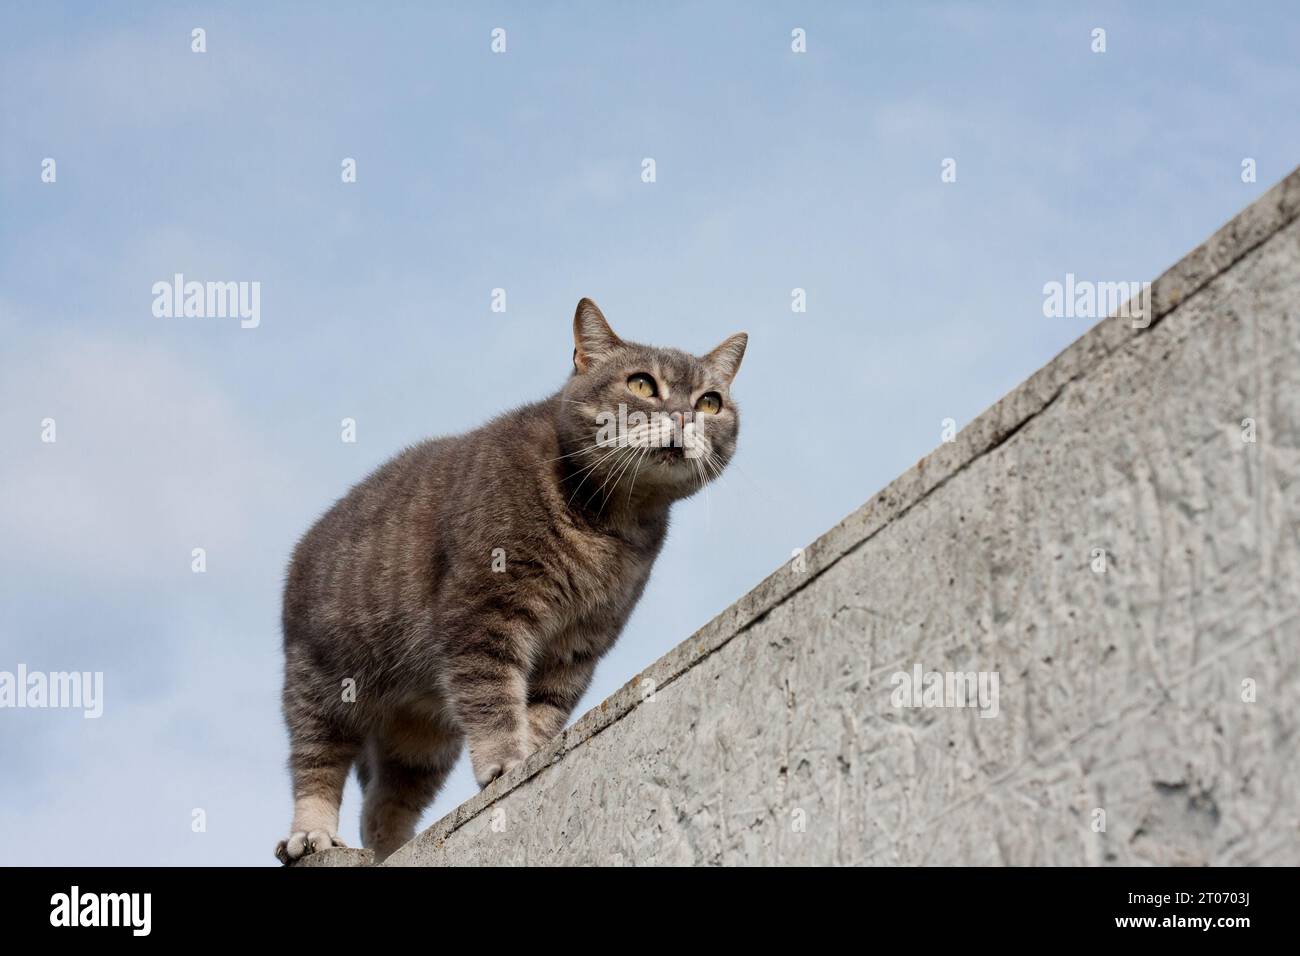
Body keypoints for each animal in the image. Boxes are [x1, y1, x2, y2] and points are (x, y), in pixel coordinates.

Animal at [274, 300, 748, 868]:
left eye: (710, 401)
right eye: (641, 384)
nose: (683, 415)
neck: (610, 522)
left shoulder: (577, 644)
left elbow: (541, 712)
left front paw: (532, 755)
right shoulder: (483, 616)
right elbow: (496, 701)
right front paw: (507, 763)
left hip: (421, 742)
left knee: (383, 807)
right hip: (324, 682)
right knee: (315, 764)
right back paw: (311, 834)